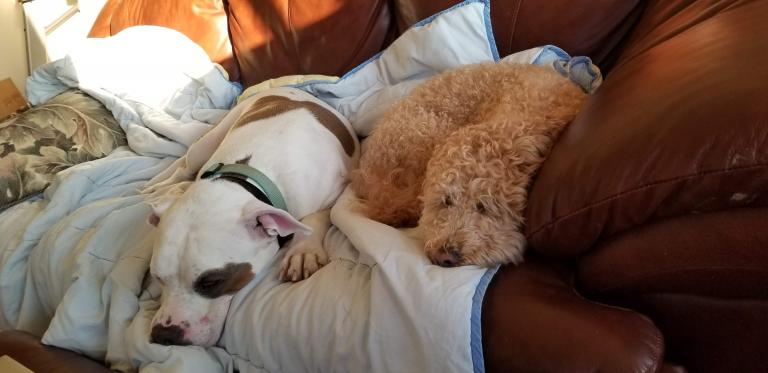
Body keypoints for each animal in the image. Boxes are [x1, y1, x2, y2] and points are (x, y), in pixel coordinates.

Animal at [142, 87, 358, 346]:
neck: (249, 179)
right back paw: (161, 185)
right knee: (183, 166)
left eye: (212, 282)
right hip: (208, 142)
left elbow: (317, 217)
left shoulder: (339, 191)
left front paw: (303, 250)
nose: (163, 335)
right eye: (158, 277)